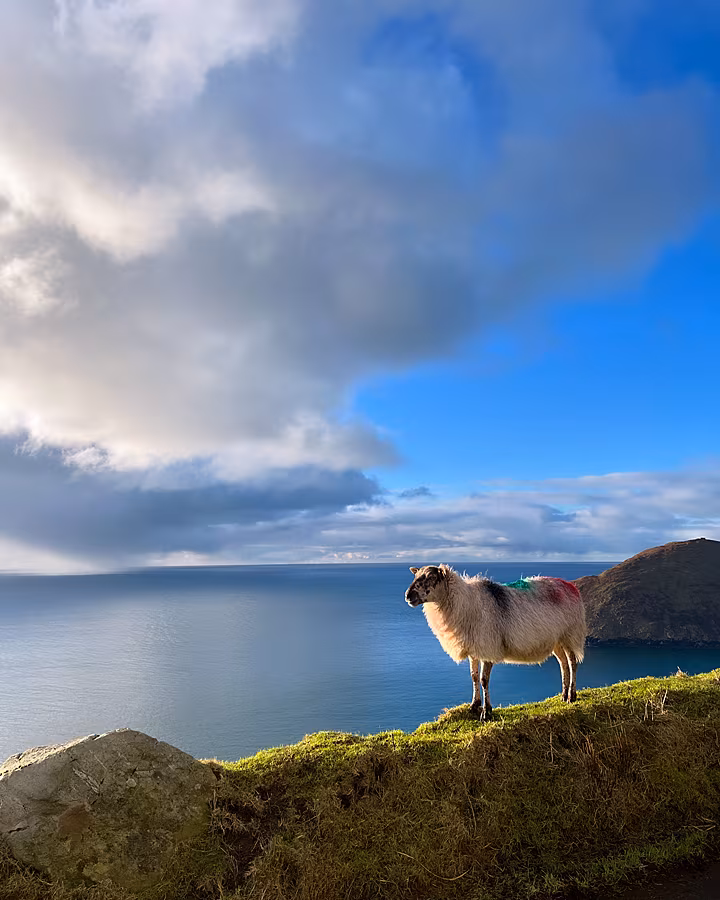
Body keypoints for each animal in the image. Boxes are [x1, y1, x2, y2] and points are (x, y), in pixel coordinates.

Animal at [405, 565, 586, 720]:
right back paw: (563, 695)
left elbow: (484, 680)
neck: (466, 603)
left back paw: (571, 696)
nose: (407, 596)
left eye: (430, 577)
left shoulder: (488, 647)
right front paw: (474, 705)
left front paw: (486, 712)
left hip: (570, 634)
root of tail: (570, 586)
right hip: (556, 640)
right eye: (415, 575)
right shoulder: (474, 648)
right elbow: (473, 676)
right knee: (563, 663)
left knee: (572, 663)